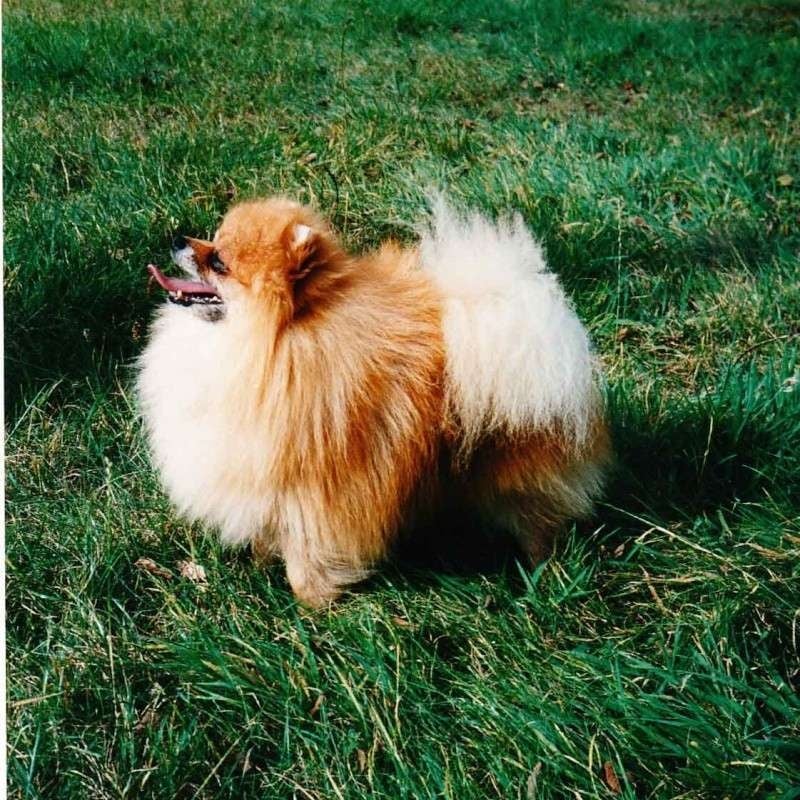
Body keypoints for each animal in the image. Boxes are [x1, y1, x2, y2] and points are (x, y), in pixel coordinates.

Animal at [137, 197, 609, 606]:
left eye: (219, 260)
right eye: (212, 237)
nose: (177, 238)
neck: (267, 347)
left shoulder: (318, 493)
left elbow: (309, 557)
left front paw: (311, 607)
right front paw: (261, 562)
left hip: (519, 468)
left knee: (537, 521)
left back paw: (541, 572)